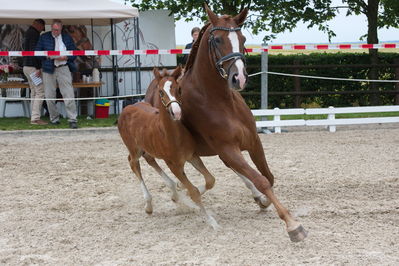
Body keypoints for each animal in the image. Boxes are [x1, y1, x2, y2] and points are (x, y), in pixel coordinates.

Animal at [119, 66, 219, 229]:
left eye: (179, 89)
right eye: (161, 92)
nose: (176, 112)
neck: (171, 134)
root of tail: (128, 107)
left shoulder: (192, 156)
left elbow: (210, 179)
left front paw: (183, 192)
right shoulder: (173, 164)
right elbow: (194, 191)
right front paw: (212, 222)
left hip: (148, 148)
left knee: (149, 159)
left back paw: (174, 192)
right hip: (134, 148)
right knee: (133, 163)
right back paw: (149, 205)